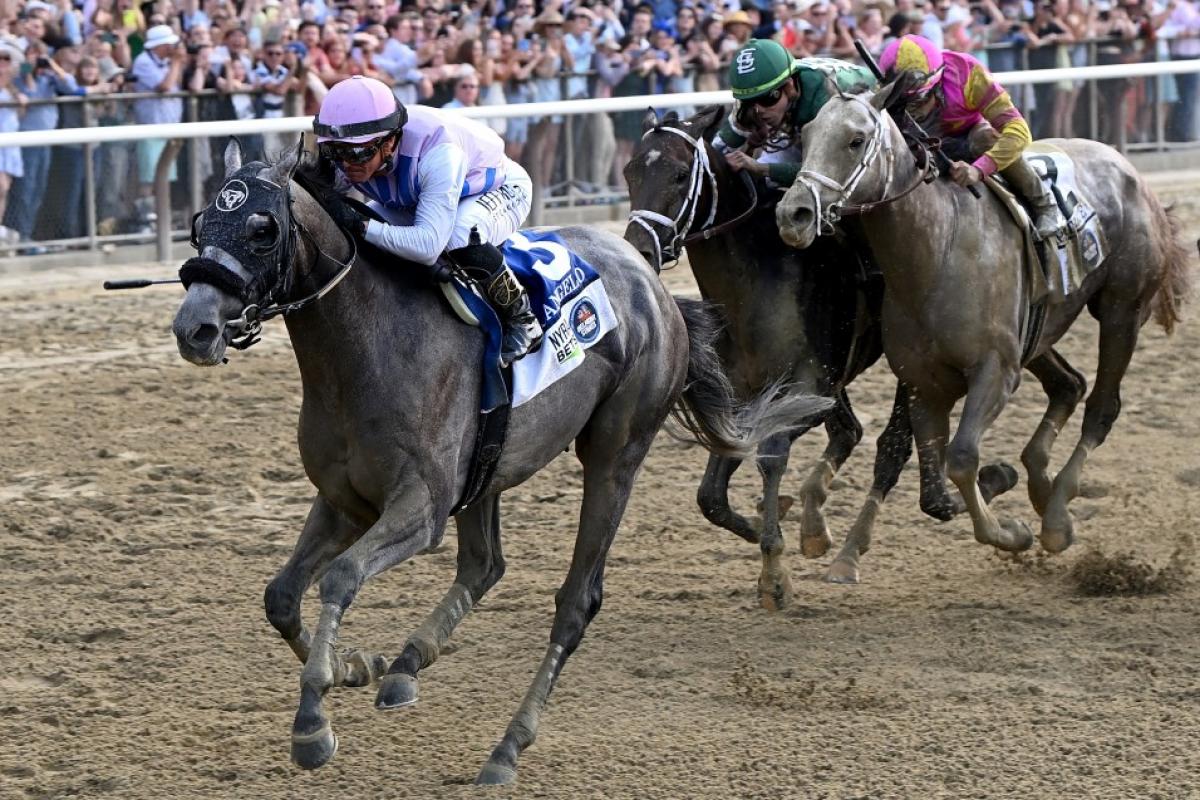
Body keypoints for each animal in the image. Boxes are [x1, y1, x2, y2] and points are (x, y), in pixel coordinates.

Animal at [174, 140, 830, 786]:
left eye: (263, 228)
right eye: (201, 223)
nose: (194, 328)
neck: (366, 348)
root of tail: (655, 285)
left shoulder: (419, 509)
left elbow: (340, 576)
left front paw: (313, 724)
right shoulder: (345, 500)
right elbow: (281, 596)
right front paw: (356, 666)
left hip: (615, 455)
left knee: (576, 602)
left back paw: (506, 748)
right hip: (487, 470)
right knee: (485, 565)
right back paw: (406, 666)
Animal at [624, 104, 1017, 594]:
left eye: (680, 175)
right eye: (630, 172)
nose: (639, 250)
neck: (756, 280)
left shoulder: (809, 390)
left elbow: (772, 452)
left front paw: (775, 572)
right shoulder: (746, 398)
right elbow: (710, 496)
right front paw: (771, 526)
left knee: (890, 448)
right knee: (851, 432)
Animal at [772, 81, 1185, 566]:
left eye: (856, 140)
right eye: (806, 135)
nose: (793, 214)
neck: (938, 250)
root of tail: (1125, 165)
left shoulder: (995, 371)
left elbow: (963, 458)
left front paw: (1012, 531)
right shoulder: (924, 383)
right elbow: (934, 482)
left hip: (1123, 309)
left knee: (1102, 407)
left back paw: (1056, 517)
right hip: (1038, 331)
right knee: (1069, 385)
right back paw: (1041, 486)